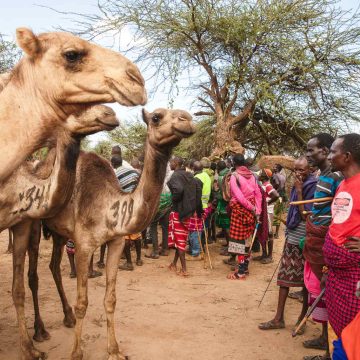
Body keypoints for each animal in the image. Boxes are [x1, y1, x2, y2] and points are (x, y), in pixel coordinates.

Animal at [21, 107, 195, 360]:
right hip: (34, 222)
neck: (109, 205)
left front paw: (115, 350)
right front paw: (76, 353)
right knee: (33, 274)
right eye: (156, 117)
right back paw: (40, 331)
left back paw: (67, 317)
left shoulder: (116, 243)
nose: (187, 120)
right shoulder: (84, 245)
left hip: (59, 231)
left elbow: (110, 299)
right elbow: (83, 303)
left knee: (54, 266)